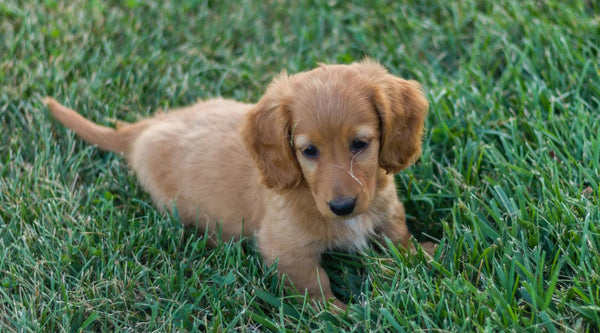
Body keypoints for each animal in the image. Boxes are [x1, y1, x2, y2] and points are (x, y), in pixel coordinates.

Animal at [44, 59, 434, 308]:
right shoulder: (285, 250)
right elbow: (315, 286)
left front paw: (425, 254)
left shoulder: (386, 208)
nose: (343, 207)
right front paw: (340, 315)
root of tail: (143, 130)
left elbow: (399, 236)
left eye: (360, 143)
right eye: (308, 151)